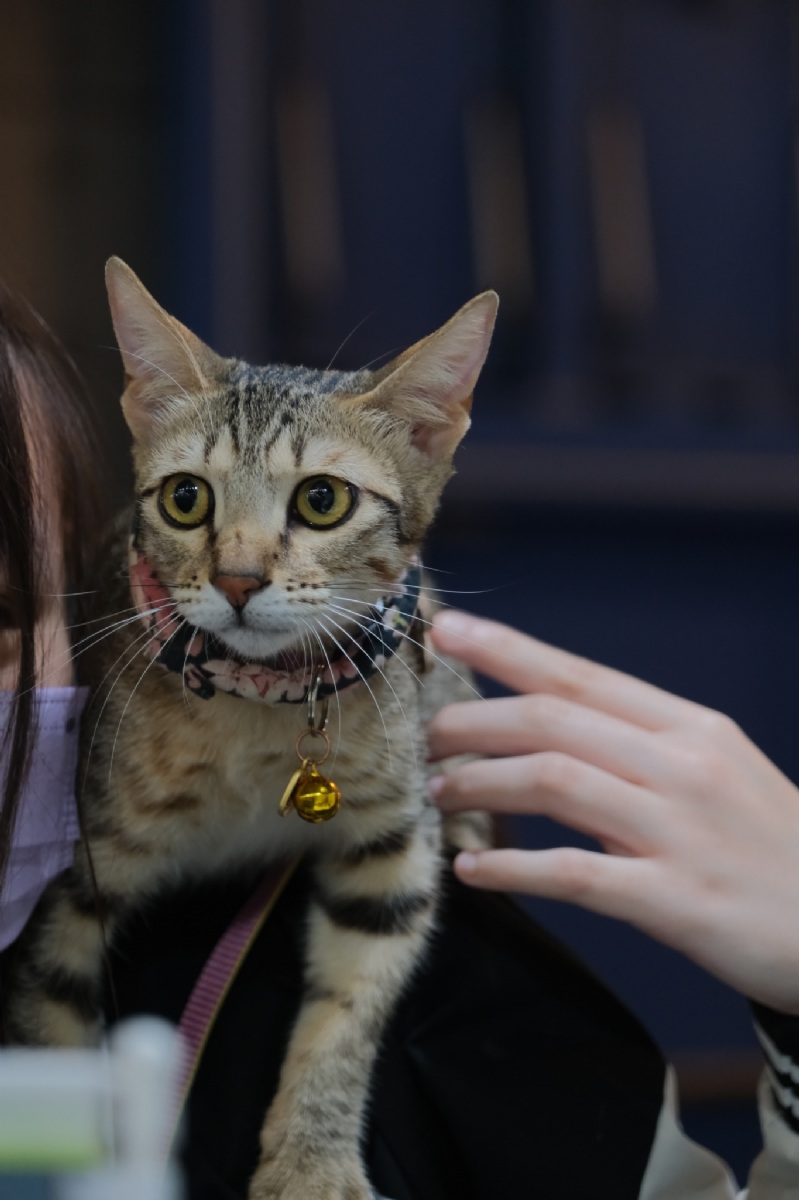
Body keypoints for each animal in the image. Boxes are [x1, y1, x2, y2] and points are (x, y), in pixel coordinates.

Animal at [6, 258, 497, 1200]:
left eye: (322, 500)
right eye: (185, 497)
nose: (235, 579)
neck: (257, 710)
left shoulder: (389, 854)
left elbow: (346, 1017)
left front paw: (311, 1161)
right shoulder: (65, 881)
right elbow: (55, 1049)